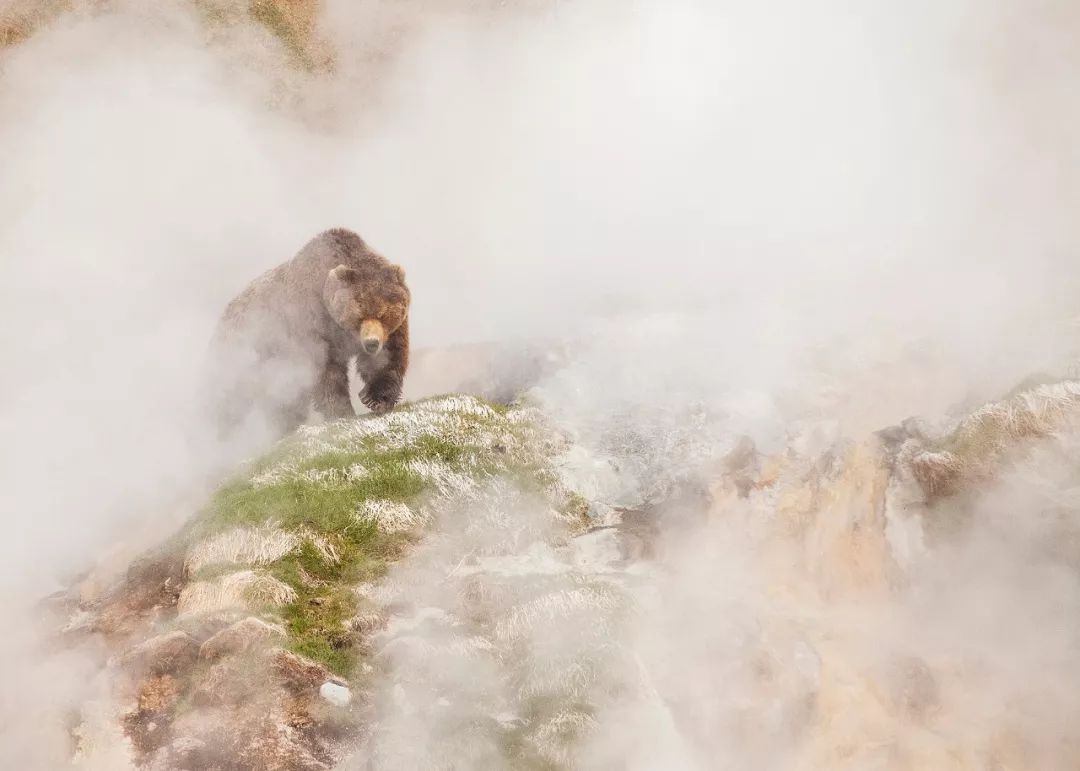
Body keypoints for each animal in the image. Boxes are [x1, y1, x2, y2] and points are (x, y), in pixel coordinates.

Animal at [206, 225, 408, 438]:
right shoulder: (311, 321)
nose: (371, 343)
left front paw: (375, 399)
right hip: (243, 354)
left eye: (383, 314)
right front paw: (342, 412)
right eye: (359, 314)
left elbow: (391, 357)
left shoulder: (392, 331)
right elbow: (325, 370)